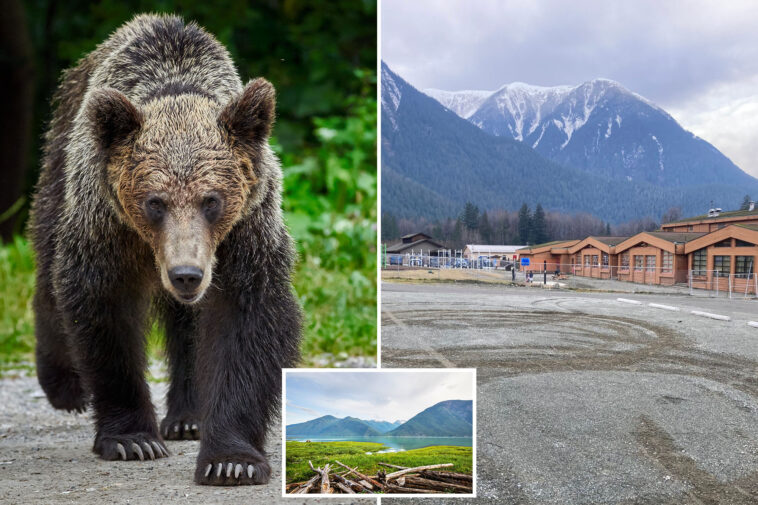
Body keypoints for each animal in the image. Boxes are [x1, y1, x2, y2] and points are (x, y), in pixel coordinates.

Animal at [28, 14, 301, 485]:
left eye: (211, 200)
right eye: (154, 202)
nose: (186, 275)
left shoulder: (245, 234)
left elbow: (245, 323)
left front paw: (231, 459)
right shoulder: (108, 226)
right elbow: (104, 312)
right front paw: (132, 438)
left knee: (187, 327)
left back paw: (189, 417)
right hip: (59, 172)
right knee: (49, 266)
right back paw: (64, 385)